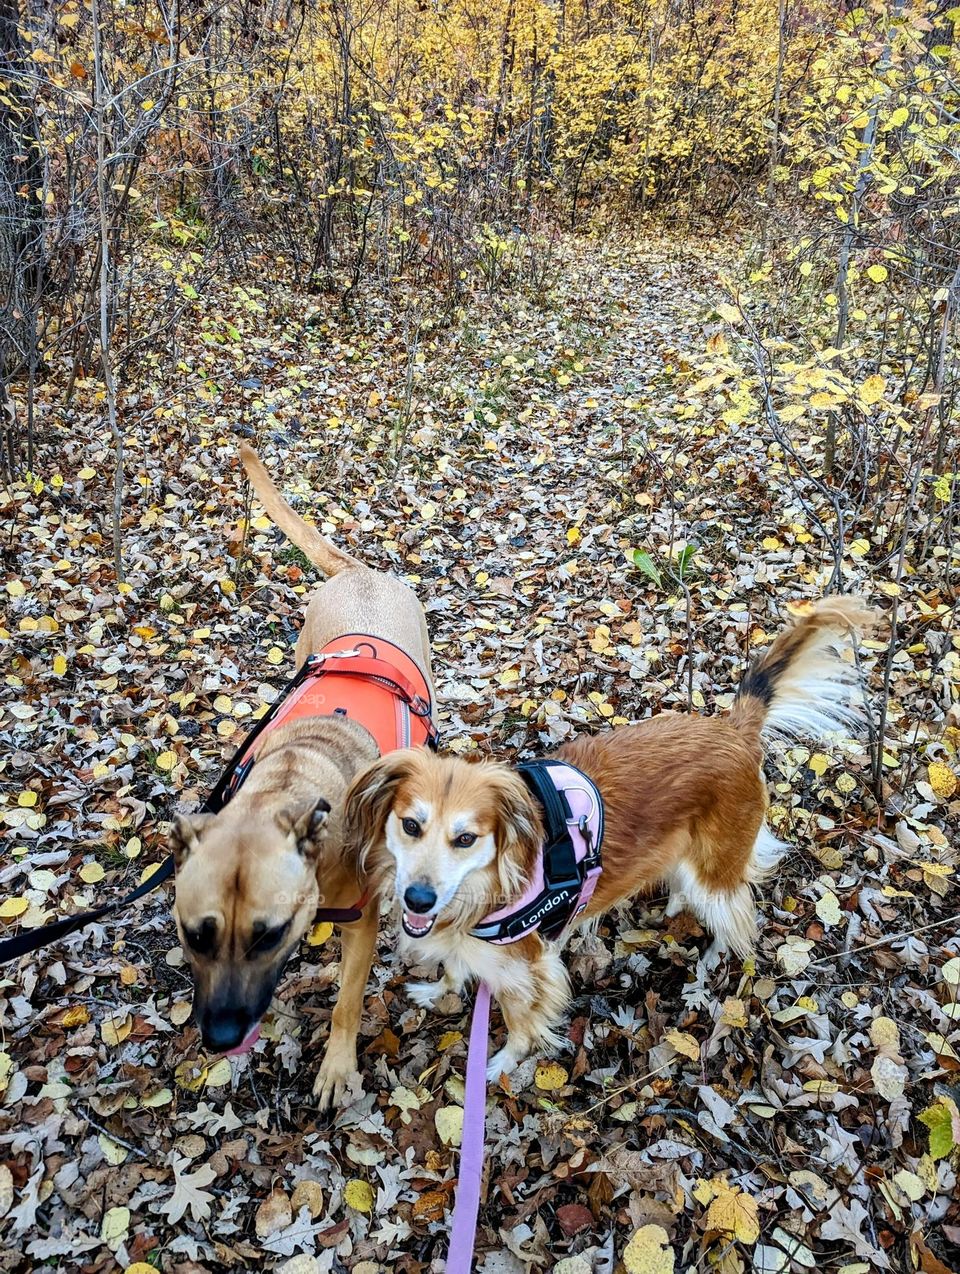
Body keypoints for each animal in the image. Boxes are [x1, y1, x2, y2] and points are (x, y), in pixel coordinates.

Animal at [171, 445, 432, 1105]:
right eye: (195, 935)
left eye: (269, 934)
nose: (220, 1037)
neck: (289, 788)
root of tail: (361, 571)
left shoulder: (360, 921)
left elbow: (345, 1002)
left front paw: (337, 1068)